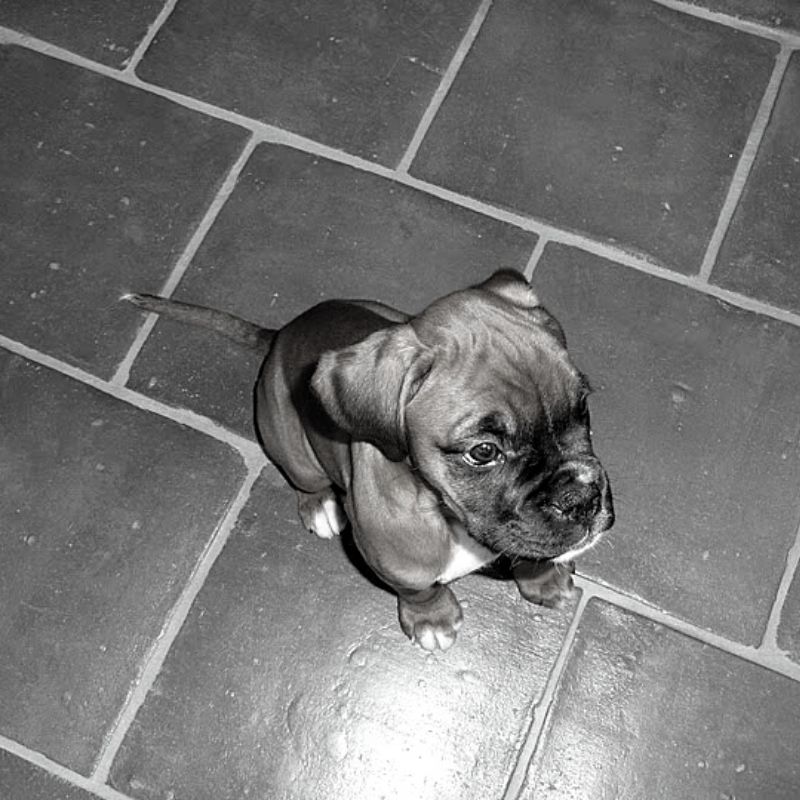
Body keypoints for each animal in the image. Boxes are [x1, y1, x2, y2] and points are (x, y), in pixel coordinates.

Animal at [123, 268, 612, 648]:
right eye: (483, 451)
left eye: (582, 407)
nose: (582, 499)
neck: (440, 510)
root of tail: (282, 334)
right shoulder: (394, 558)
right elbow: (418, 590)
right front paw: (432, 619)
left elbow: (532, 549)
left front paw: (543, 577)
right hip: (289, 440)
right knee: (304, 478)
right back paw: (319, 505)